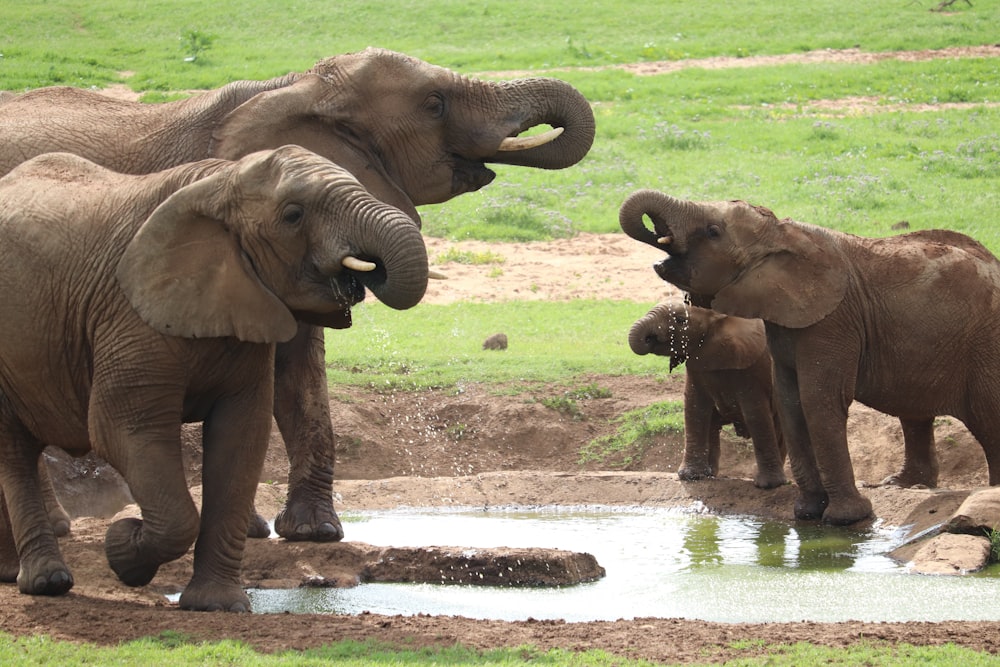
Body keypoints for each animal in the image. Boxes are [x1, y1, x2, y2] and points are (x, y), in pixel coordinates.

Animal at [0, 145, 426, 612]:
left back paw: (12, 574)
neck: (221, 184)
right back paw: (46, 582)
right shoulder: (126, 315)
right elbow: (121, 430)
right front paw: (123, 548)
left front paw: (217, 605)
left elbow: (241, 436)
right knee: (13, 453)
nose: (367, 272)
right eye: (293, 216)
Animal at [628, 300, 784, 488]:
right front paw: (690, 476)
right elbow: (694, 408)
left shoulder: (753, 368)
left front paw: (767, 485)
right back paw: (710, 474)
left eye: (681, 320)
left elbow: (755, 414)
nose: (650, 338)